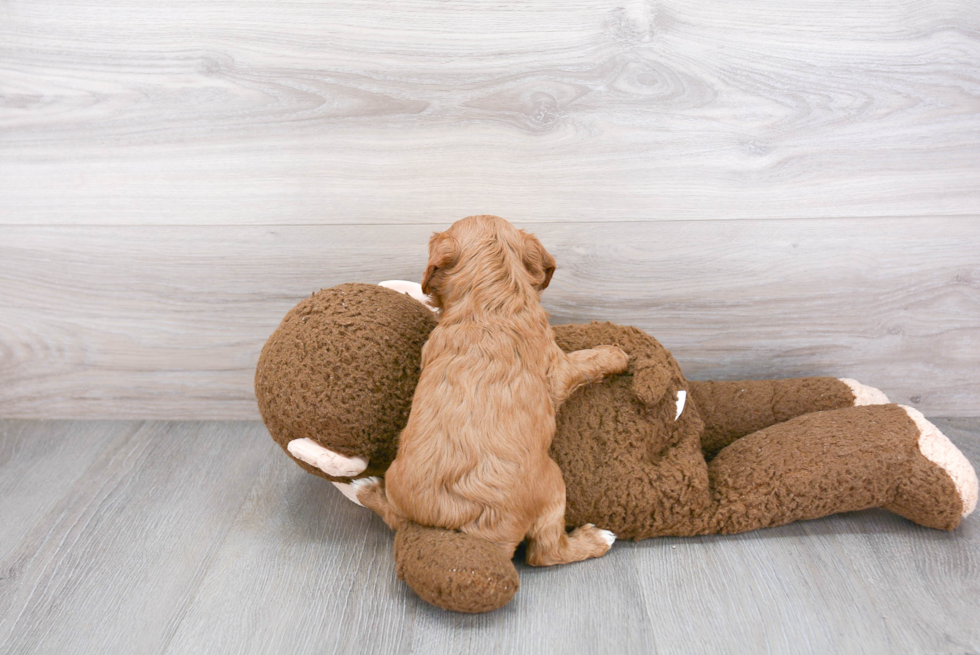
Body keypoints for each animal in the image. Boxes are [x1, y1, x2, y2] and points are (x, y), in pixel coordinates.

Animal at [358, 218, 628, 568]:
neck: (490, 302)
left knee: (393, 516)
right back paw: (597, 538)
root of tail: (471, 531)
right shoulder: (557, 369)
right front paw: (616, 354)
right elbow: (587, 361)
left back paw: (366, 489)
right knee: (545, 552)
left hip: (399, 487)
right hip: (553, 484)